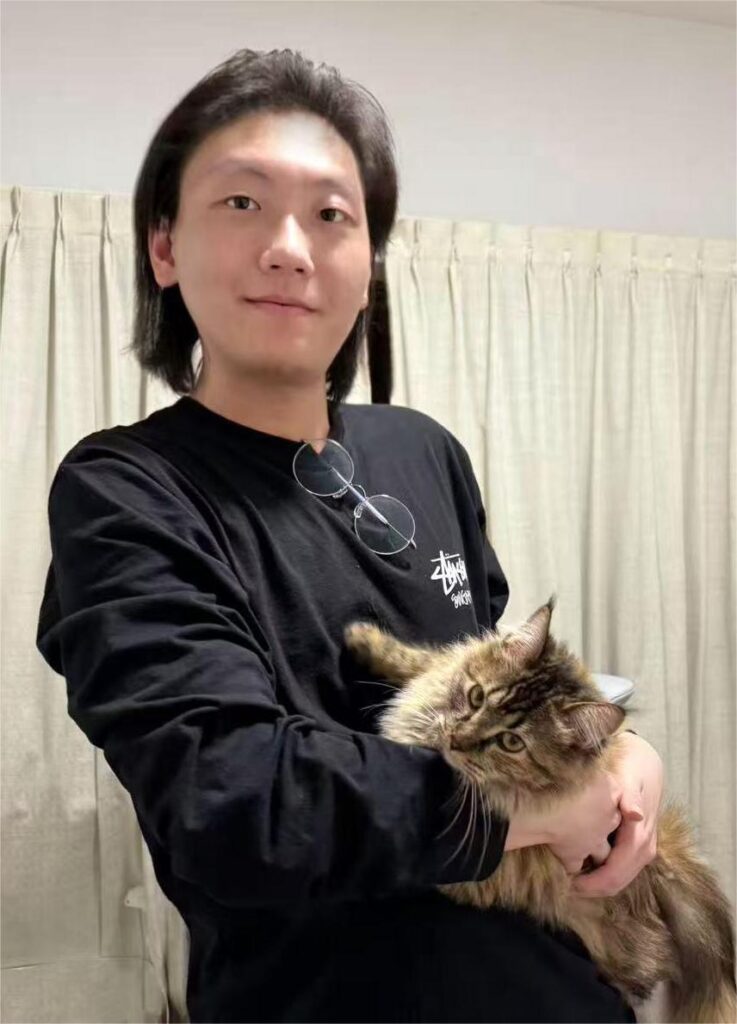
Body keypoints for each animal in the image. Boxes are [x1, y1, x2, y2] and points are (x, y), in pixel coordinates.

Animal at [344, 596, 736, 1024]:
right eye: (476, 696)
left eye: (511, 742)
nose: (458, 739)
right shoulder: (443, 666)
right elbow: (423, 659)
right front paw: (364, 640)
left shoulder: (478, 871)